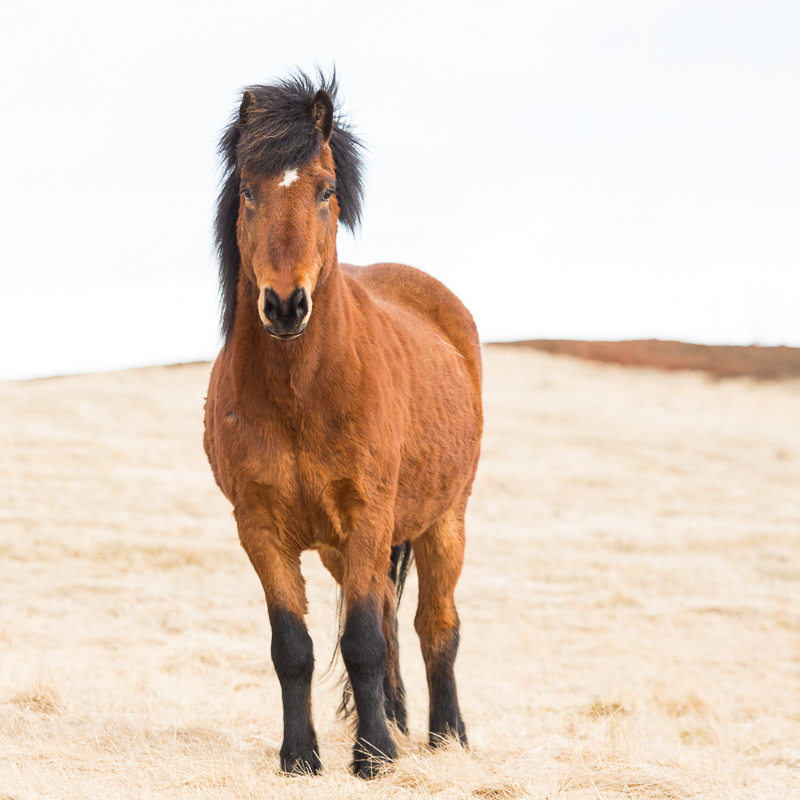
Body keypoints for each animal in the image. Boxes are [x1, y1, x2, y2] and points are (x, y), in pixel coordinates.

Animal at [203, 72, 483, 779]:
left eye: (325, 190)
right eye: (248, 190)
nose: (284, 304)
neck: (302, 396)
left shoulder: (369, 517)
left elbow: (361, 641)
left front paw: (374, 757)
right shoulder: (261, 529)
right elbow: (294, 647)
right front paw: (300, 756)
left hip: (444, 521)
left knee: (435, 626)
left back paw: (446, 736)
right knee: (388, 618)